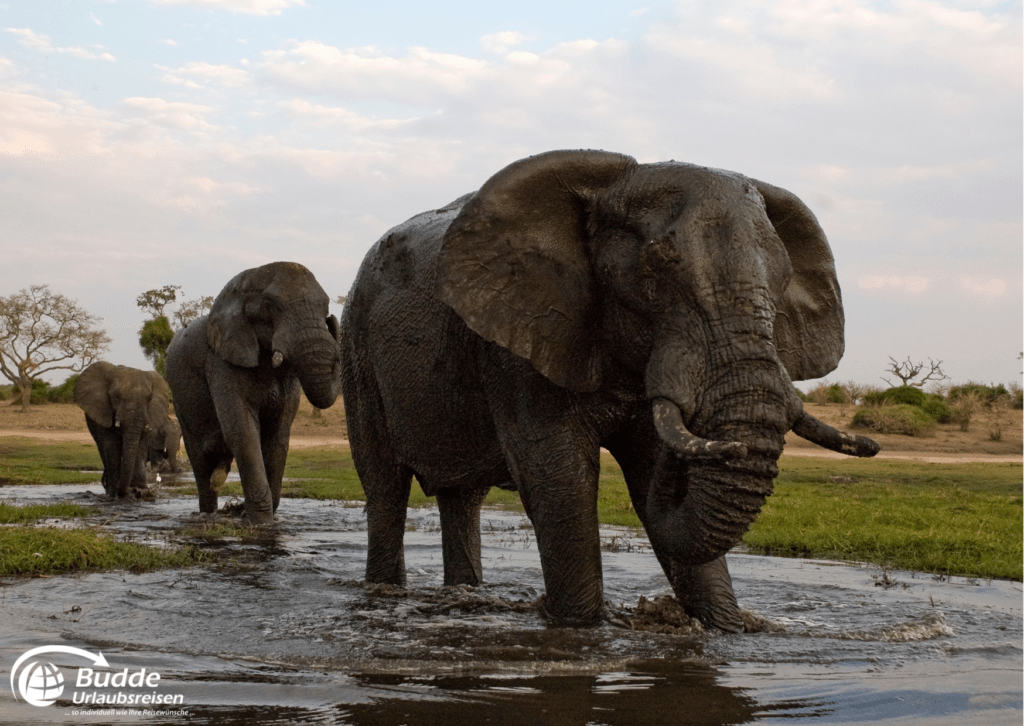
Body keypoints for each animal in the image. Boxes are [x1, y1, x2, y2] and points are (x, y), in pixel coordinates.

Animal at [73, 362, 176, 497]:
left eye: (149, 398)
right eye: (116, 396)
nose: (126, 491)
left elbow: (140, 446)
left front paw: (139, 490)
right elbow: (112, 445)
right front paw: (115, 493)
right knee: (102, 448)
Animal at [165, 260, 344, 520]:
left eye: (326, 306)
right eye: (270, 306)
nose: (332, 320)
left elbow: (278, 437)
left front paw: (250, 514)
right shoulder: (220, 362)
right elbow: (243, 433)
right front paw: (259, 522)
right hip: (180, 400)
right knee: (200, 460)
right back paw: (208, 514)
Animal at [337, 150, 880, 630]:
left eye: (784, 278)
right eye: (657, 264)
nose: (727, 446)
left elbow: (646, 473)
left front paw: (726, 628)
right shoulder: (521, 341)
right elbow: (559, 478)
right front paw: (580, 627)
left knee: (461, 497)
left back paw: (464, 597)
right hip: (356, 348)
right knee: (385, 489)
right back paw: (383, 595)